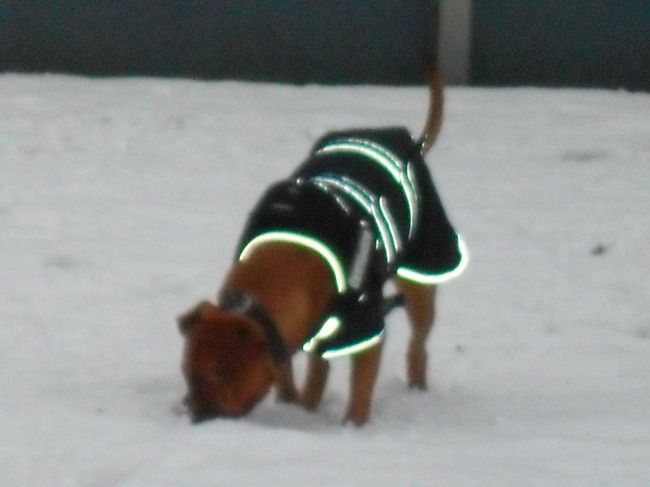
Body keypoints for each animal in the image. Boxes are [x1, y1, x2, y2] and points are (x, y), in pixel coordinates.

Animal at [177, 69, 466, 428]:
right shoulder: (289, 338)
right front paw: (297, 408)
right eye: (186, 374)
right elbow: (297, 373)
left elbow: (360, 388)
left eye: (213, 378)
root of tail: (405, 141)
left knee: (418, 343)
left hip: (422, 272)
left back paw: (416, 386)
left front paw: (352, 427)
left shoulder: (365, 329)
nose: (190, 414)